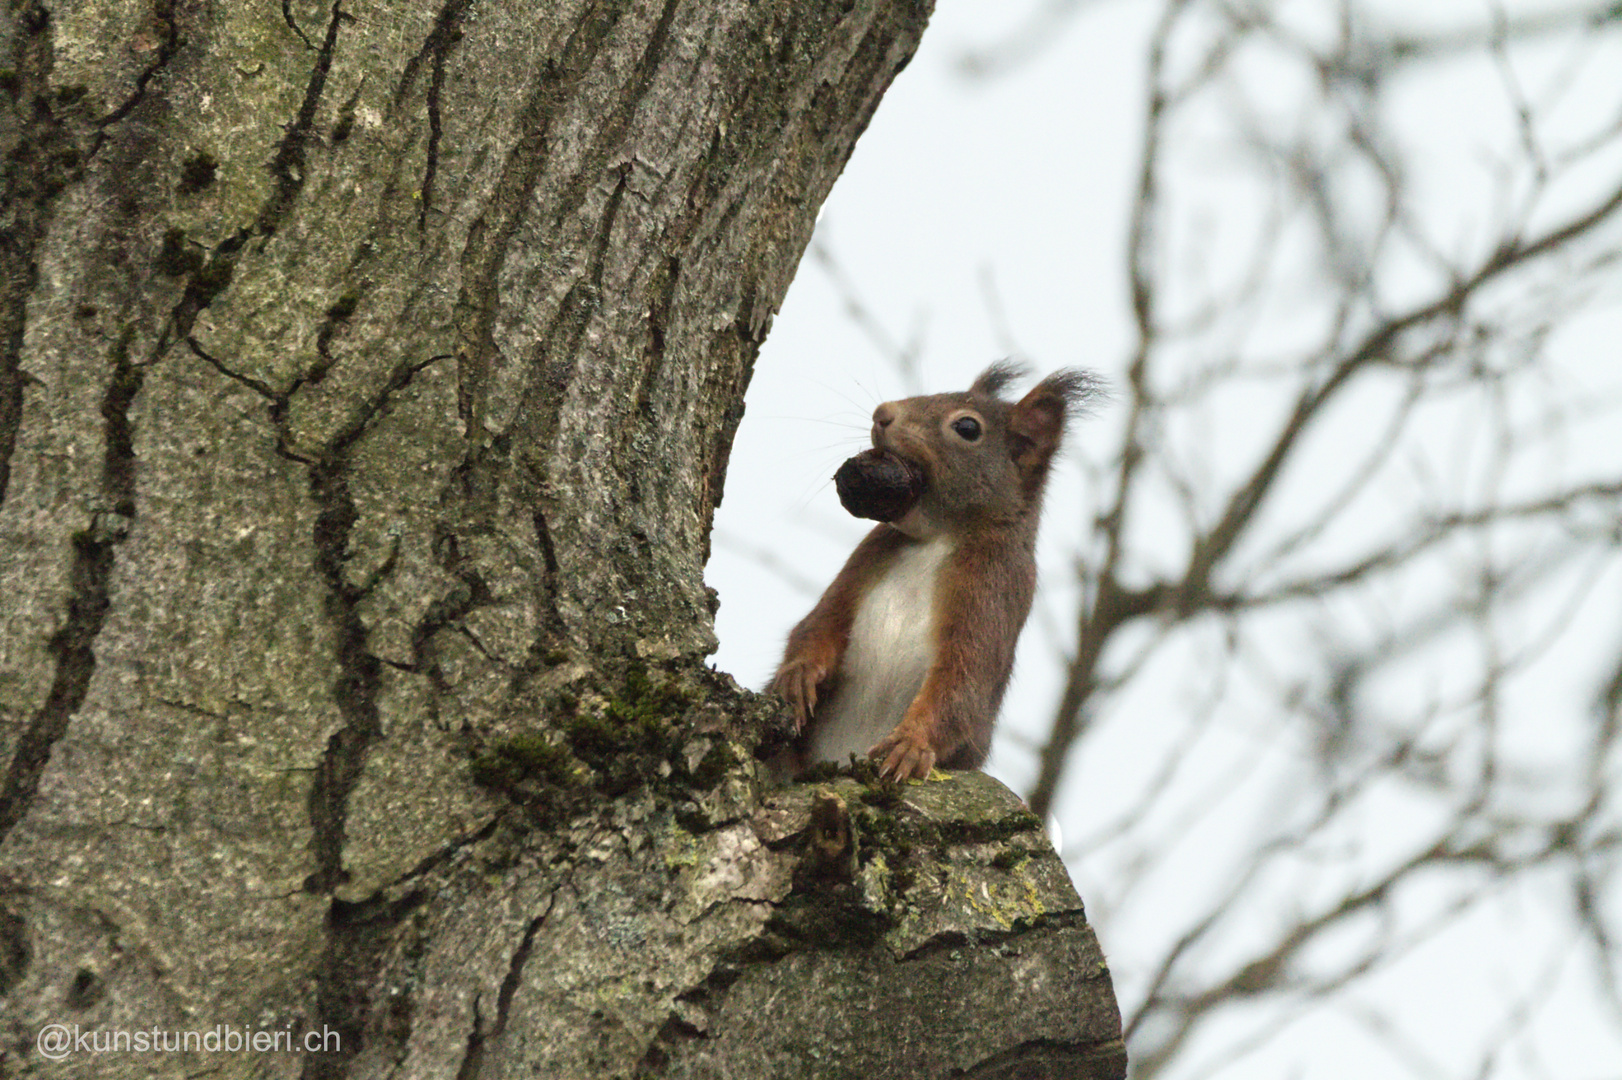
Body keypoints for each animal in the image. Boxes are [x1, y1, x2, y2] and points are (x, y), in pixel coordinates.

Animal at [772, 366, 1102, 778]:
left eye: (967, 427)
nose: (882, 414)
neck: (938, 538)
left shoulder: (993, 588)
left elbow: (962, 685)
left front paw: (911, 744)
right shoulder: (864, 562)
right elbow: (820, 622)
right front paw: (798, 674)